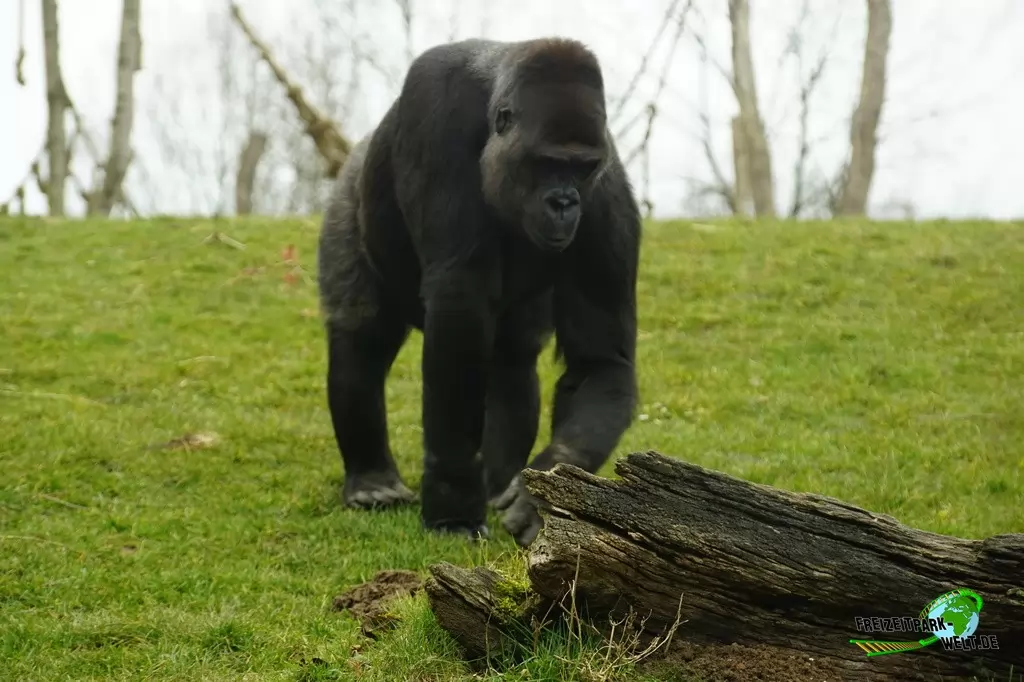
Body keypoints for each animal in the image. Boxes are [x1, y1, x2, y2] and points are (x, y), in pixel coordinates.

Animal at [316, 37, 641, 546]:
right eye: (548, 163)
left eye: (582, 167)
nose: (564, 203)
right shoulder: (436, 102)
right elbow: (458, 306)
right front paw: (452, 503)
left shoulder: (608, 202)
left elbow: (600, 362)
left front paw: (545, 492)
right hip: (349, 189)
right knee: (361, 335)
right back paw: (372, 481)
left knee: (511, 360)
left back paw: (498, 479)